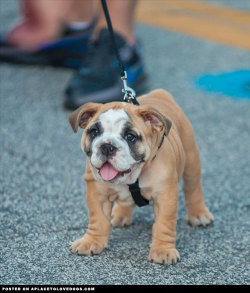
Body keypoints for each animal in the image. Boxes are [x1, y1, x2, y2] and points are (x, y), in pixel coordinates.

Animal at [69, 88, 214, 264]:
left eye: (130, 136)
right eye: (94, 132)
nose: (107, 146)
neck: (133, 177)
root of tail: (160, 93)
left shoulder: (165, 197)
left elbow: (164, 224)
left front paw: (163, 250)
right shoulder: (98, 194)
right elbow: (98, 220)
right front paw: (91, 241)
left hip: (191, 159)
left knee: (193, 187)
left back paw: (198, 214)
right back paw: (120, 214)